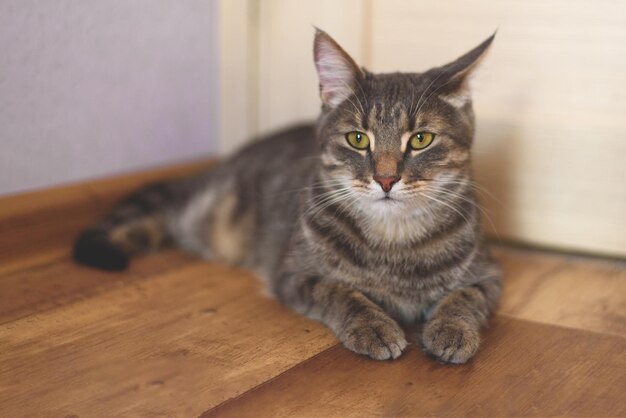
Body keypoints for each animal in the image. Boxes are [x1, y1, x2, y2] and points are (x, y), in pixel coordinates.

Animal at [74, 29, 502, 364]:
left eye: (421, 139)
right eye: (357, 139)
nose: (385, 179)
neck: (393, 241)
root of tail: (228, 162)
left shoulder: (489, 274)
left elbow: (466, 296)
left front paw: (452, 330)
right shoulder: (294, 273)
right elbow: (340, 291)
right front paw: (375, 326)